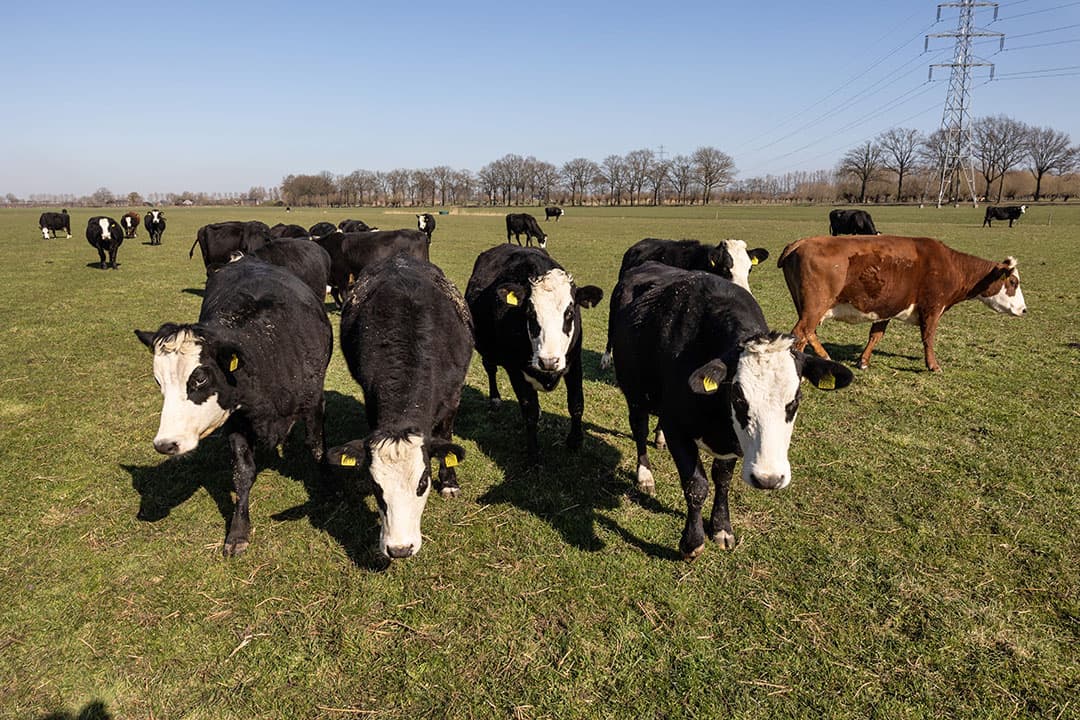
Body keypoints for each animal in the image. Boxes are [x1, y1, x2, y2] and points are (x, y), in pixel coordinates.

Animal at [135, 258, 333, 557]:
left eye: (200, 378)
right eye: (159, 381)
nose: (165, 444)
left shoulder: (314, 403)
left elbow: (317, 448)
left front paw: (326, 489)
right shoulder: (237, 421)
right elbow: (242, 472)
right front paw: (238, 531)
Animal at [324, 254, 473, 559]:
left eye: (423, 482)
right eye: (376, 485)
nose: (400, 549)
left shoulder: (454, 396)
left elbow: (446, 437)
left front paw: (450, 482)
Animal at [465, 244, 603, 463]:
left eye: (570, 313)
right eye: (530, 313)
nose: (549, 361)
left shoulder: (574, 362)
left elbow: (576, 403)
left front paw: (575, 441)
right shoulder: (515, 370)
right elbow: (528, 411)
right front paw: (533, 455)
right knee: (490, 368)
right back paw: (495, 399)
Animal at [610, 261, 853, 558]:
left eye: (795, 399)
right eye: (738, 398)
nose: (768, 478)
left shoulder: (730, 441)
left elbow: (722, 480)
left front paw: (721, 528)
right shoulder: (678, 427)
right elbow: (696, 484)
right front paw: (692, 542)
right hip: (634, 392)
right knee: (639, 428)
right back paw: (645, 474)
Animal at [778, 235, 1027, 372]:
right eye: (1013, 282)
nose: (1024, 309)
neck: (951, 265)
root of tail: (800, 242)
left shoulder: (887, 308)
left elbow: (876, 335)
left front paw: (863, 361)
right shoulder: (932, 308)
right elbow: (928, 338)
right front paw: (933, 365)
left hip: (808, 308)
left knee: (808, 333)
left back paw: (825, 356)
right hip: (815, 307)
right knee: (801, 332)